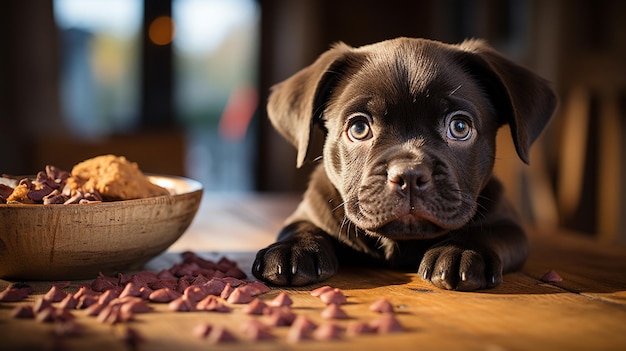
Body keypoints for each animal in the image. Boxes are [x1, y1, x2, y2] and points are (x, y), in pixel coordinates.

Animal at [251, 37, 552, 292]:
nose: (408, 175)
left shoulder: (509, 225)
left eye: (459, 127)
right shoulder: (311, 210)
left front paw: (464, 251)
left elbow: (487, 232)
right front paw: (293, 248)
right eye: (359, 128)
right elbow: (300, 226)